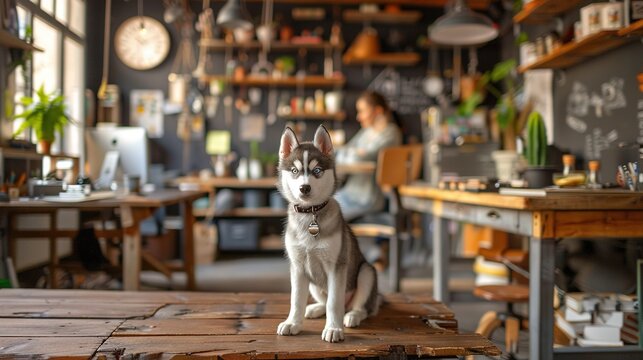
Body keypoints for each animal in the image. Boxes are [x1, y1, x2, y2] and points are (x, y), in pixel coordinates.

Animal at [276, 125, 378, 342]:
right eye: (295, 171)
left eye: (317, 171)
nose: (304, 188)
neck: (310, 215)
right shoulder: (298, 267)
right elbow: (295, 299)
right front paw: (292, 323)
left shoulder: (337, 266)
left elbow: (334, 302)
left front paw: (333, 329)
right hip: (313, 283)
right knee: (323, 301)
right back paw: (315, 309)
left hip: (366, 272)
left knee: (360, 307)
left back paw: (352, 316)